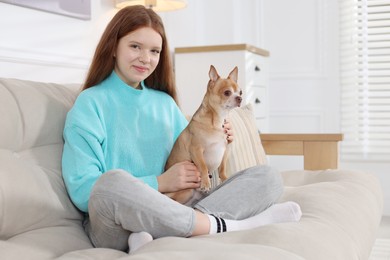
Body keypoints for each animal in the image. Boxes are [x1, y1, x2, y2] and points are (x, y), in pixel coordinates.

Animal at [165, 65, 244, 205]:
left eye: (240, 93)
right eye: (227, 93)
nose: (240, 98)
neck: (218, 121)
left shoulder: (225, 150)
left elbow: (222, 167)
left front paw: (225, 179)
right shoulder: (196, 150)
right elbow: (203, 166)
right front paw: (206, 183)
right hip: (185, 192)